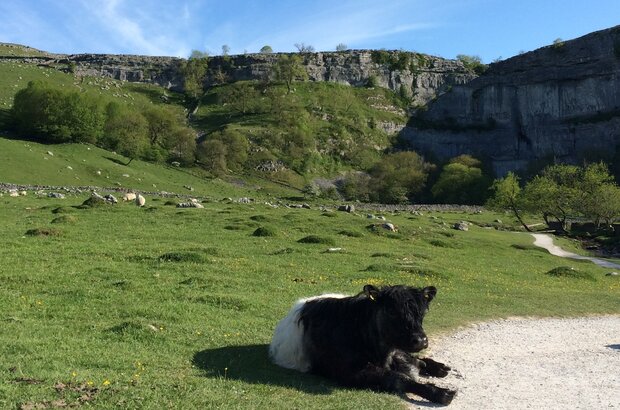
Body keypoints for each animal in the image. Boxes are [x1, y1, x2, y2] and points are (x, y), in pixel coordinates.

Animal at [268, 284, 456, 406]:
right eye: (391, 311)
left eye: (422, 313)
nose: (421, 340)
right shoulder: (350, 371)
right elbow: (396, 377)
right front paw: (441, 393)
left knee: (419, 360)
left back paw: (440, 368)